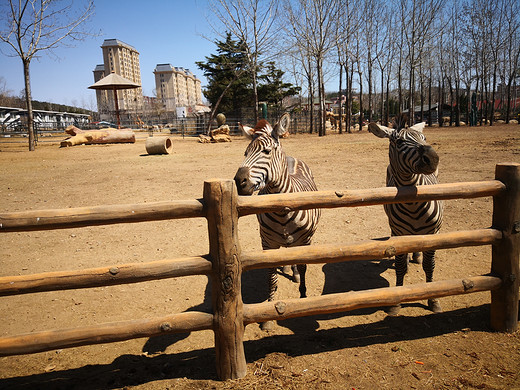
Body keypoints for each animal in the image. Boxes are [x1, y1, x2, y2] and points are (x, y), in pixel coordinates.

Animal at [234, 112, 318, 330]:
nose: (239, 182)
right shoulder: (268, 243)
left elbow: (303, 267)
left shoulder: (304, 241)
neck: (282, 210)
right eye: (245, 153)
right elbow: (271, 277)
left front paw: (303, 297)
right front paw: (268, 315)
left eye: (266, 151)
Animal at [368, 114, 444, 316]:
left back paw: (416, 256)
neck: (413, 203)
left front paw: (433, 300)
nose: (433, 158)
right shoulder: (399, 233)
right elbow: (400, 265)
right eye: (400, 141)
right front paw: (396, 302)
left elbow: (430, 265)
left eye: (424, 138)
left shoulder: (433, 234)